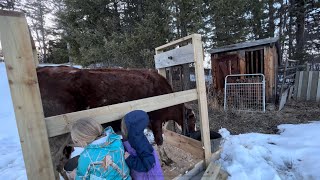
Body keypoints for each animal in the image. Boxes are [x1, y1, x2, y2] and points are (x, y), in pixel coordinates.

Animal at [38, 66, 196, 176]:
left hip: (65, 146)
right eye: (193, 120)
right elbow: (160, 140)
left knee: (59, 166)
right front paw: (167, 160)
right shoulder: (156, 119)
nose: (194, 133)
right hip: (56, 141)